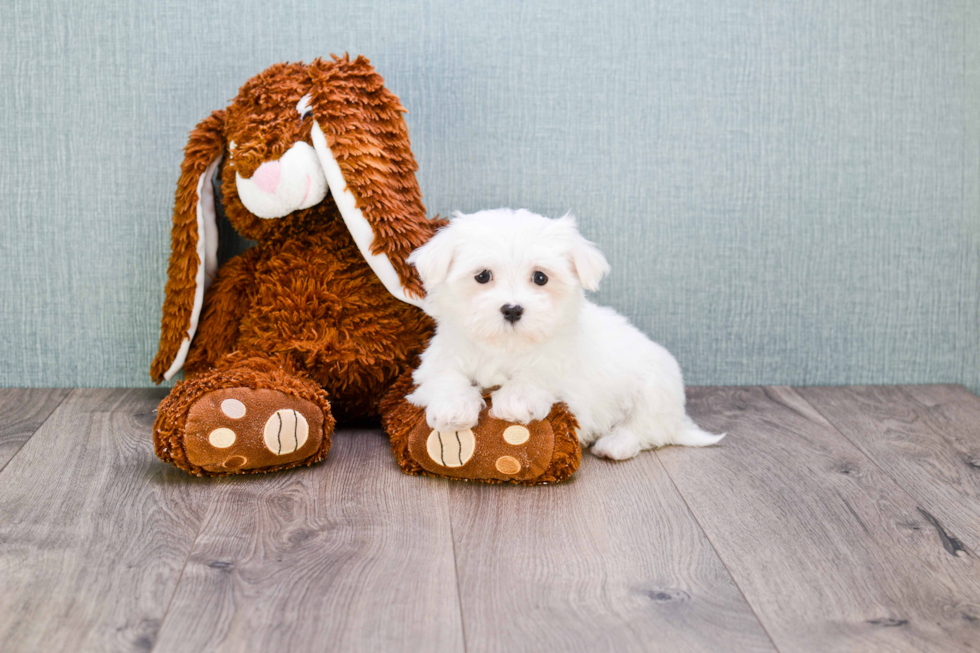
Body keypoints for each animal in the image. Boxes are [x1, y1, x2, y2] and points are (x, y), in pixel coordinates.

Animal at [404, 209, 720, 458]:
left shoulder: (566, 372)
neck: (506, 346)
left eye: (540, 277)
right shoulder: (440, 358)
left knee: (645, 428)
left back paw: (614, 444)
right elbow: (446, 377)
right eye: (482, 276)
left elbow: (540, 373)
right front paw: (453, 408)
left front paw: (516, 400)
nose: (512, 309)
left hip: (654, 389)